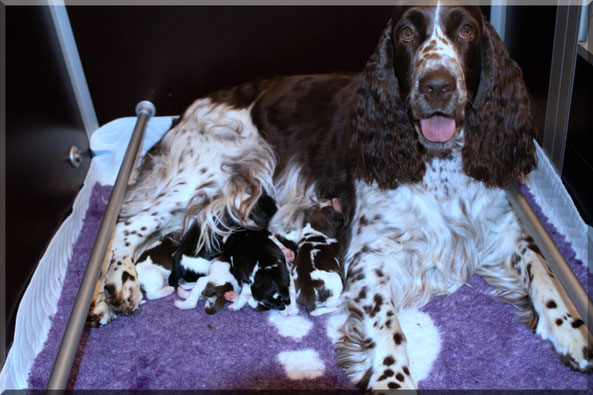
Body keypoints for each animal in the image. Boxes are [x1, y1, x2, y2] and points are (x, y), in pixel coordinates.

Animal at [88, 4, 592, 392]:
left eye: (466, 30)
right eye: (407, 32)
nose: (437, 85)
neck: (438, 164)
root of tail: (185, 110)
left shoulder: (501, 230)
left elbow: (544, 269)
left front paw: (570, 330)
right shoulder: (369, 257)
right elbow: (389, 328)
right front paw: (392, 379)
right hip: (211, 172)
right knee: (123, 224)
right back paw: (113, 287)